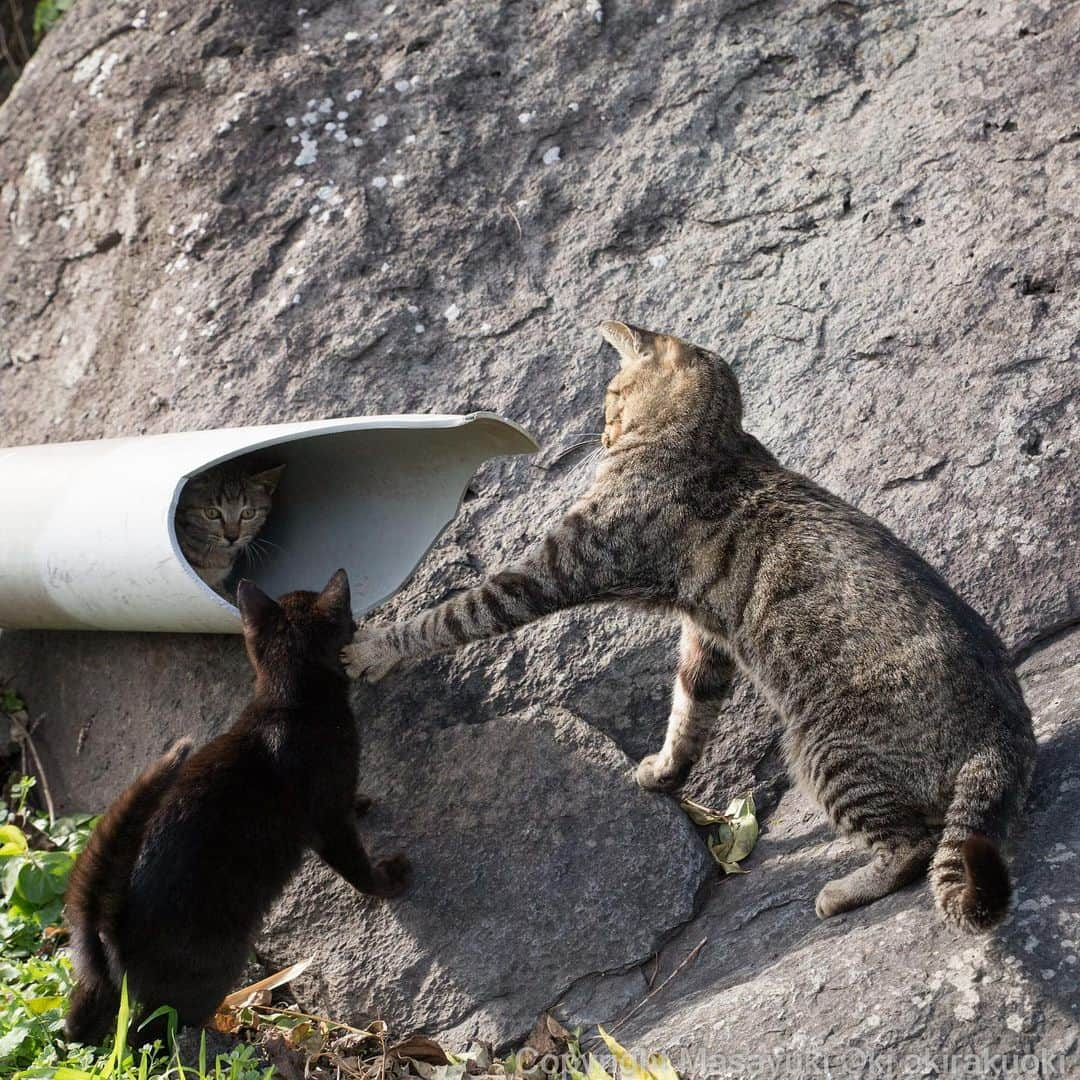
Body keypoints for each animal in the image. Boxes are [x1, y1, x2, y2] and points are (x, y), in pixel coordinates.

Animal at [64, 570, 408, 1049]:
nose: (362, 624)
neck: (289, 702)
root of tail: (110, 926)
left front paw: (361, 800)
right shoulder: (327, 822)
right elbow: (355, 865)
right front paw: (389, 881)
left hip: (103, 987)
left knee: (82, 1024)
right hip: (218, 963)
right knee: (151, 1035)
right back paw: (234, 1042)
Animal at [345, 317, 1036, 928]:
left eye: (610, 395)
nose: (602, 431)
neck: (708, 438)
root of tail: (1005, 734)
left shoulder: (555, 568)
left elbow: (454, 614)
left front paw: (376, 646)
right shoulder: (706, 634)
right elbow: (687, 711)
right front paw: (664, 771)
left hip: (827, 750)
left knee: (913, 848)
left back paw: (842, 890)